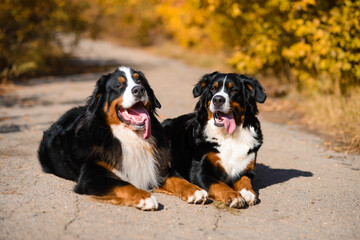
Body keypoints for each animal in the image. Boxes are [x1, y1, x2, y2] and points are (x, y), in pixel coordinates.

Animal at [38, 65, 207, 210]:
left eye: (140, 82)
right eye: (119, 86)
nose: (139, 90)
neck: (131, 136)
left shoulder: (157, 166)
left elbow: (178, 179)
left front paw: (194, 189)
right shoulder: (91, 176)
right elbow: (124, 184)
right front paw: (145, 197)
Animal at [162, 71, 266, 208]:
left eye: (234, 90)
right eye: (213, 88)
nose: (218, 99)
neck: (229, 136)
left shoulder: (247, 169)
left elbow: (245, 180)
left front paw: (248, 192)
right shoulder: (199, 172)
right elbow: (219, 184)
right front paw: (233, 196)